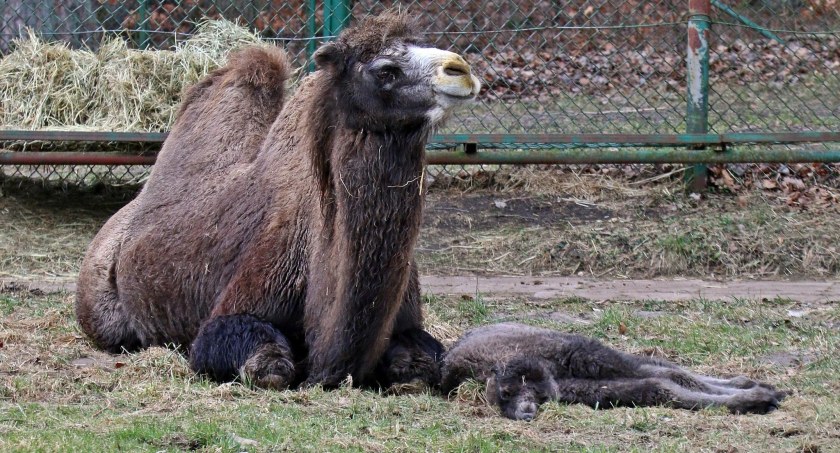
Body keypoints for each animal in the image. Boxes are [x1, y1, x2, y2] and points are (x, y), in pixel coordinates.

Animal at [440, 324, 788, 418]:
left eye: (508, 391)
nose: (524, 413)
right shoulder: (584, 388)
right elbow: (657, 387)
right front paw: (755, 398)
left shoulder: (583, 356)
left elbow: (665, 378)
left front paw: (758, 396)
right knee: (661, 371)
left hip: (590, 351)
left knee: (664, 367)